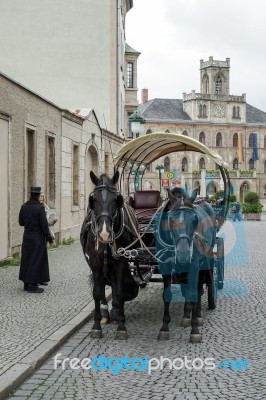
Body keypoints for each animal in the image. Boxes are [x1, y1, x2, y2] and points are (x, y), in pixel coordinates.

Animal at [80, 170, 139, 340]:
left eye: (115, 199)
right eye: (94, 199)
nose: (104, 233)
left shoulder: (120, 262)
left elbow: (119, 290)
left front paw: (121, 326)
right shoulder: (95, 263)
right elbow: (97, 292)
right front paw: (96, 326)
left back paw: (116, 311)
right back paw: (107, 314)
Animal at [156, 189, 216, 342]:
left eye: (195, 219)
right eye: (171, 219)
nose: (183, 253)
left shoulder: (193, 266)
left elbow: (193, 293)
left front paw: (194, 330)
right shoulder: (164, 266)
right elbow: (167, 295)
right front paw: (164, 327)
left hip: (205, 259)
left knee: (199, 286)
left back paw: (197, 315)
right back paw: (186, 315)